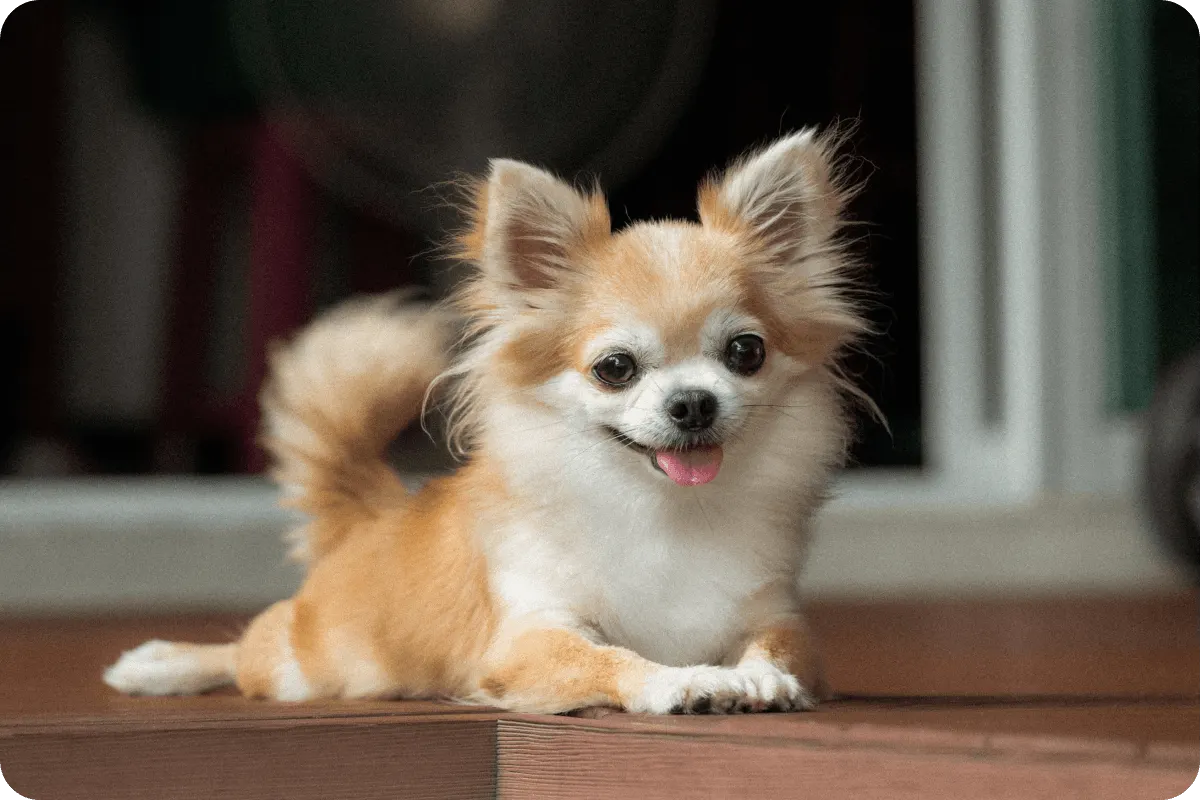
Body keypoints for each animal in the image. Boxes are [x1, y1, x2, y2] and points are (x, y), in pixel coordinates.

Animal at [105, 127, 864, 711]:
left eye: (746, 352)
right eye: (615, 367)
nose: (692, 402)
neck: (662, 509)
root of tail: (375, 513)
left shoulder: (779, 616)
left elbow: (775, 647)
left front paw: (756, 677)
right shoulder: (531, 635)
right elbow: (612, 658)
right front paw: (685, 682)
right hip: (306, 665)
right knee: (246, 650)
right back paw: (161, 663)